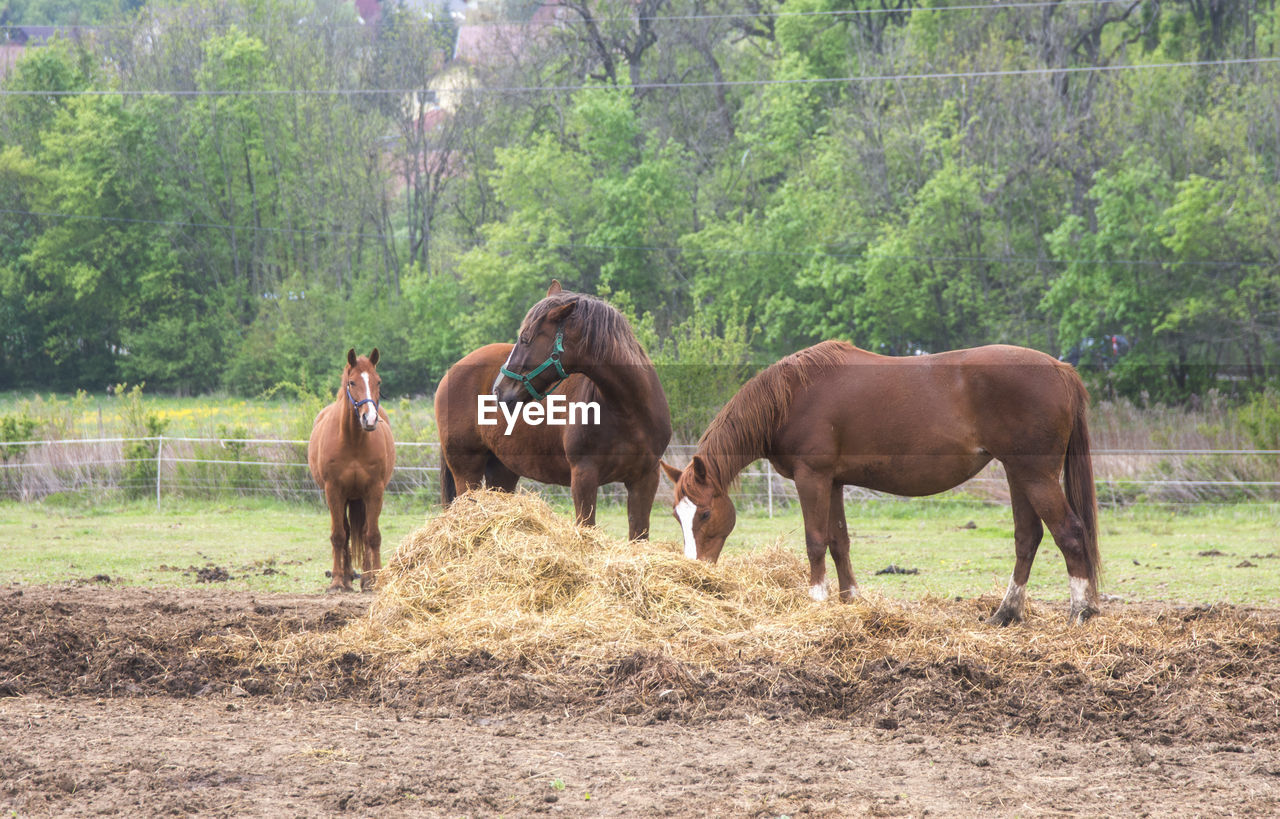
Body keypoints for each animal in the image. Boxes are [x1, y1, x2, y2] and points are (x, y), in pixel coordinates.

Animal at [307, 348, 391, 591]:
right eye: (352, 382)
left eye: (377, 381)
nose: (369, 418)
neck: (353, 441)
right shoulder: (333, 491)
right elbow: (338, 535)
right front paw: (336, 581)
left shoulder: (375, 491)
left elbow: (372, 535)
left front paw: (374, 579)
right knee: (344, 531)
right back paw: (345, 577)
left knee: (362, 532)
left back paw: (365, 578)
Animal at [437, 281, 675, 542]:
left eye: (526, 339)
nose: (498, 391)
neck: (627, 411)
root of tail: (452, 371)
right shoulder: (584, 476)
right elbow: (586, 526)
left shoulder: (646, 478)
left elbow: (639, 534)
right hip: (466, 467)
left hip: (502, 470)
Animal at [660, 342, 1100, 624]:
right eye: (677, 517)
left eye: (703, 513)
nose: (693, 572)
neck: (791, 397)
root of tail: (1062, 370)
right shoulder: (833, 482)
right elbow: (839, 541)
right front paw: (850, 601)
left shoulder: (812, 478)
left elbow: (815, 541)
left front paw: (817, 601)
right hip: (1016, 473)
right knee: (1028, 538)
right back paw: (1006, 614)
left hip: (1034, 474)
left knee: (1069, 532)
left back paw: (1080, 613)